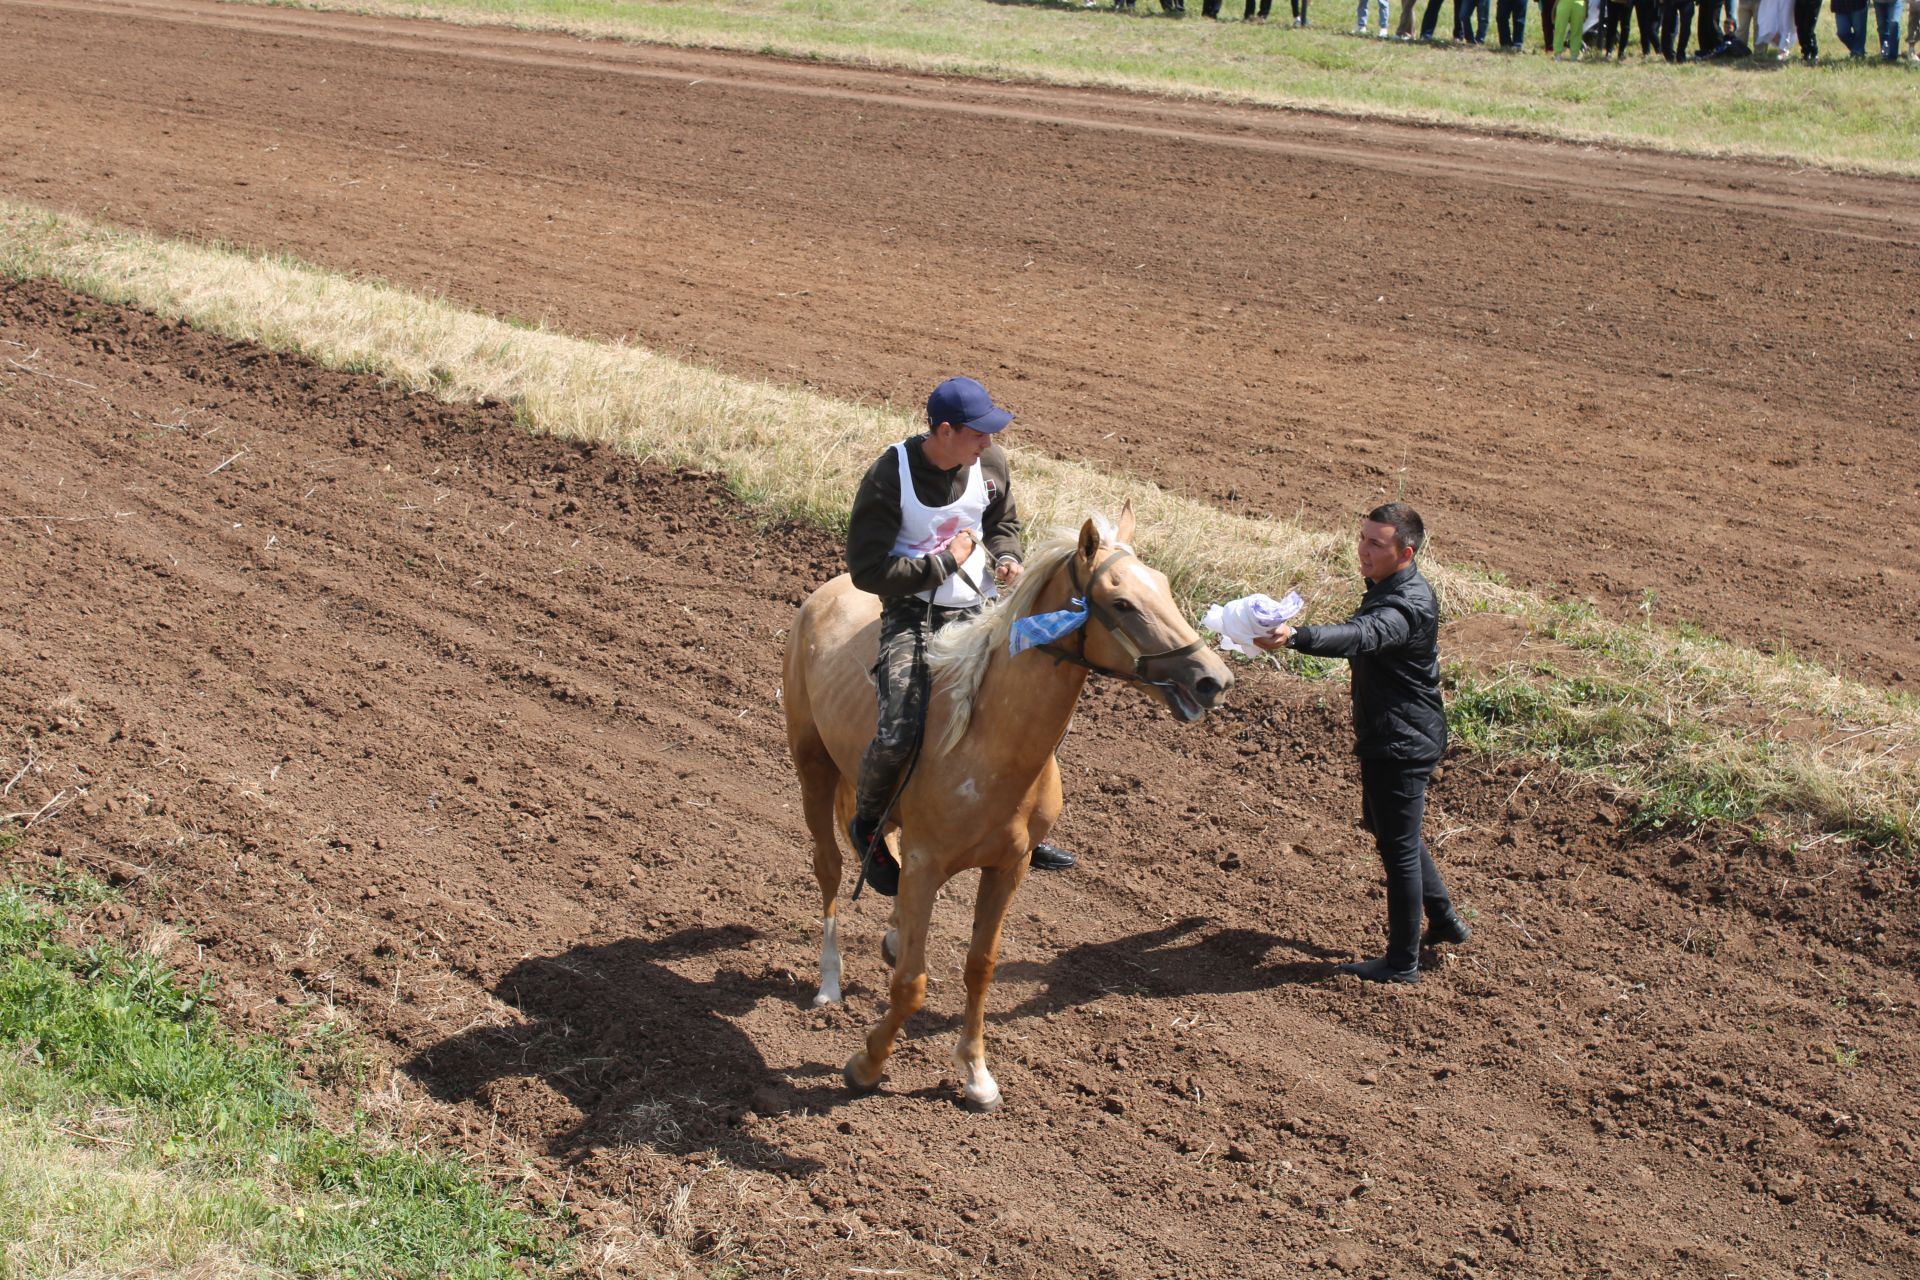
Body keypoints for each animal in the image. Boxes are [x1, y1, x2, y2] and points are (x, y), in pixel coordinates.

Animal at [775, 506, 1228, 1105]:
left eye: (1165, 587)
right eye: (1122, 603)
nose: (1213, 678)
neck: (988, 743)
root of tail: (826, 593)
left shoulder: (1008, 868)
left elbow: (980, 967)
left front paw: (976, 1071)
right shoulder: (926, 866)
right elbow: (912, 983)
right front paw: (867, 1064)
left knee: (877, 845)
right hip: (812, 763)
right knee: (828, 865)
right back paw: (829, 979)